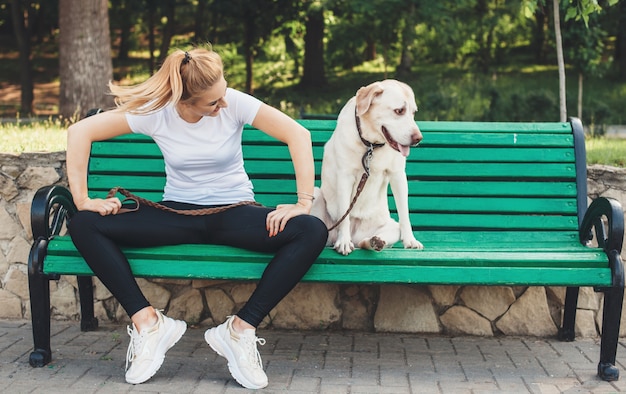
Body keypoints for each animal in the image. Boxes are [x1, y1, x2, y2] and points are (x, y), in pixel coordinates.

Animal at [310, 79, 422, 255]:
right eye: (399, 111)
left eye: (413, 113)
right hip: (316, 197)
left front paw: (410, 240)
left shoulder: (398, 175)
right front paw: (344, 241)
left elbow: (404, 213)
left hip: (389, 227)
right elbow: (344, 212)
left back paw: (374, 242)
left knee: (369, 240)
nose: (418, 138)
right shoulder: (345, 177)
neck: (371, 145)